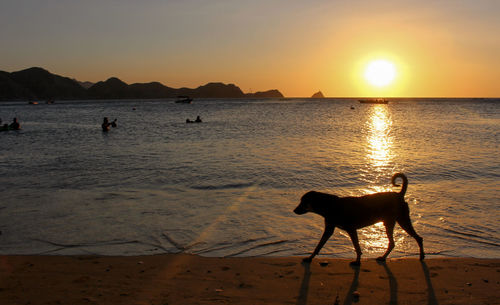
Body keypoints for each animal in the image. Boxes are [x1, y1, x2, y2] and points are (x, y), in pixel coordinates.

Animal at [294, 172, 424, 264]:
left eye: (303, 202)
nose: (294, 210)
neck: (329, 205)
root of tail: (400, 195)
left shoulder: (351, 229)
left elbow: (356, 246)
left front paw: (357, 261)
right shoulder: (329, 229)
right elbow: (319, 245)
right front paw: (309, 258)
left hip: (402, 220)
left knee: (417, 238)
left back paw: (421, 256)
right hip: (392, 221)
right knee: (394, 243)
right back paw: (383, 257)